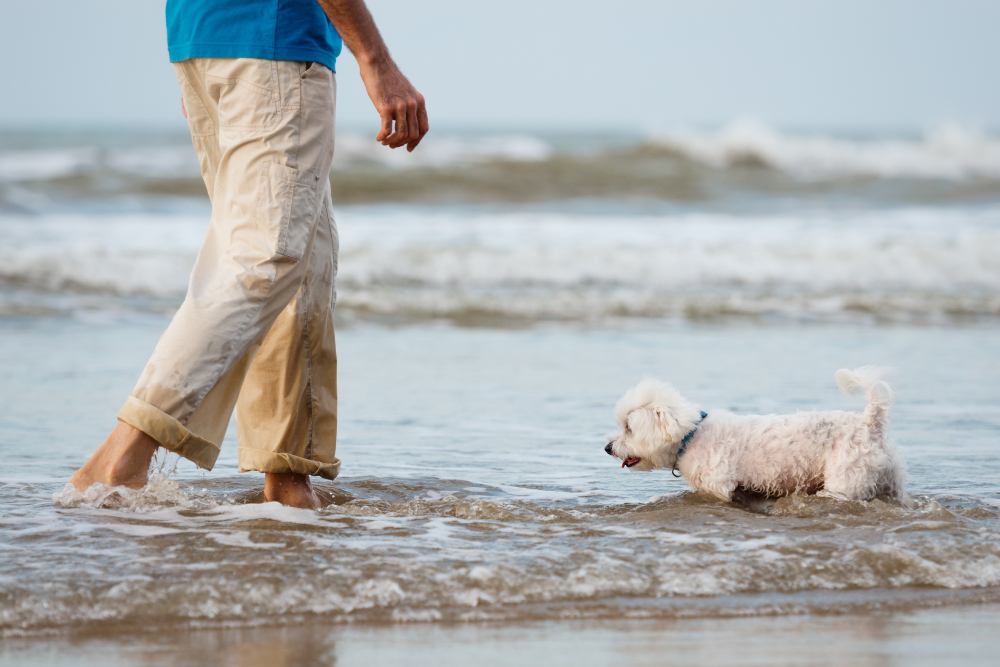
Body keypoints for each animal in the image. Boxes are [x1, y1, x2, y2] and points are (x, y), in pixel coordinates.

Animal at [604, 368, 912, 504]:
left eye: (628, 428)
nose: (607, 448)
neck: (691, 436)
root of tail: (870, 422)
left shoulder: (720, 487)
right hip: (890, 483)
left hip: (845, 481)